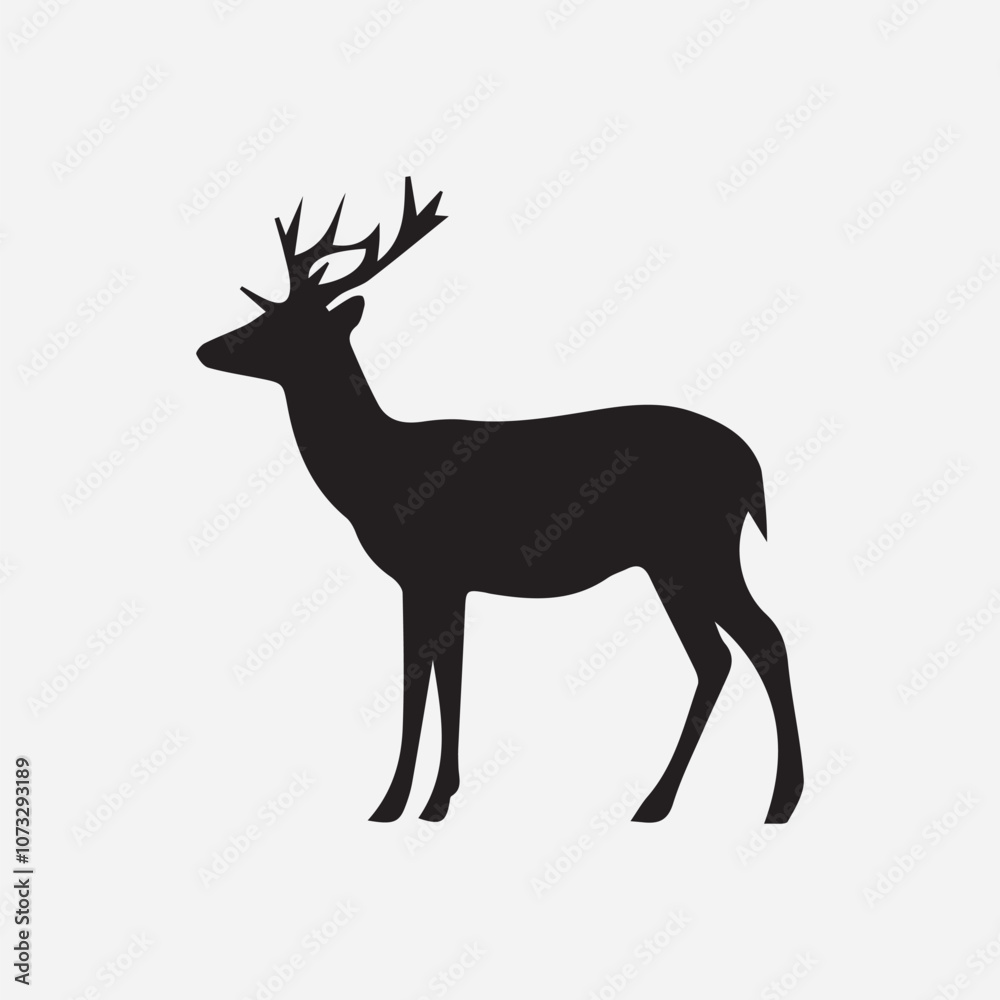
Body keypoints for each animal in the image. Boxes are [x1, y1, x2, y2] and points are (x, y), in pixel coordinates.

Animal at [196, 179, 804, 825]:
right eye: (265, 313)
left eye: (283, 326)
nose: (207, 348)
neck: (376, 476)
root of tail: (750, 464)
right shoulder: (444, 582)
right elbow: (442, 679)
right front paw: (428, 797)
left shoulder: (431, 571)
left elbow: (425, 679)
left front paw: (403, 802)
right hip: (673, 561)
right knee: (720, 657)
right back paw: (668, 802)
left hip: (696, 546)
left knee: (759, 641)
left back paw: (774, 799)